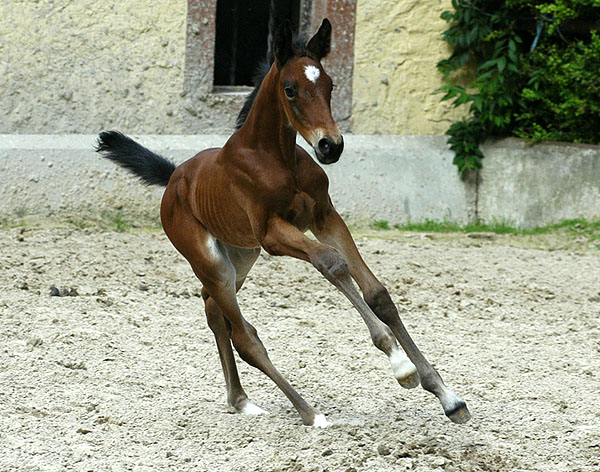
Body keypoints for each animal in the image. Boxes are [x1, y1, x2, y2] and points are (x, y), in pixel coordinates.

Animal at [95, 20, 468, 428]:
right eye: (290, 90)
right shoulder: (273, 233)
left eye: (330, 85)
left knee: (214, 310)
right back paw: (309, 413)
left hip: (240, 257)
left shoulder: (325, 216)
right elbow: (332, 264)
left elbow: (377, 294)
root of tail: (175, 175)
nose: (330, 146)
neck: (278, 158)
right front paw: (401, 365)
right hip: (211, 260)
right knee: (245, 337)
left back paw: (241, 401)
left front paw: (448, 397)